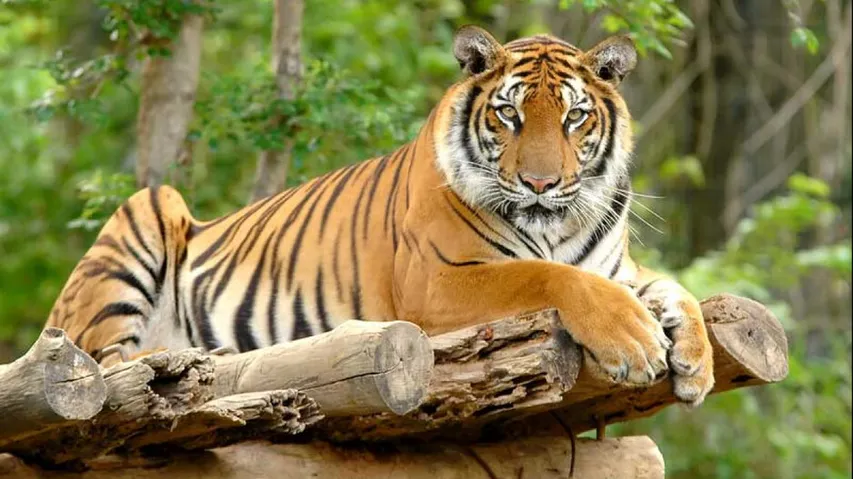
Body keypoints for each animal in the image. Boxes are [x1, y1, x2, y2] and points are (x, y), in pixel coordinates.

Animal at [46, 25, 714, 405]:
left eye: (575, 117)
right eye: (510, 115)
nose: (541, 183)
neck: (557, 225)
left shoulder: (618, 269)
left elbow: (676, 289)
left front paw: (697, 361)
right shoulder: (438, 282)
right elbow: (547, 275)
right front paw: (635, 342)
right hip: (147, 213)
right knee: (104, 360)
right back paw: (193, 358)